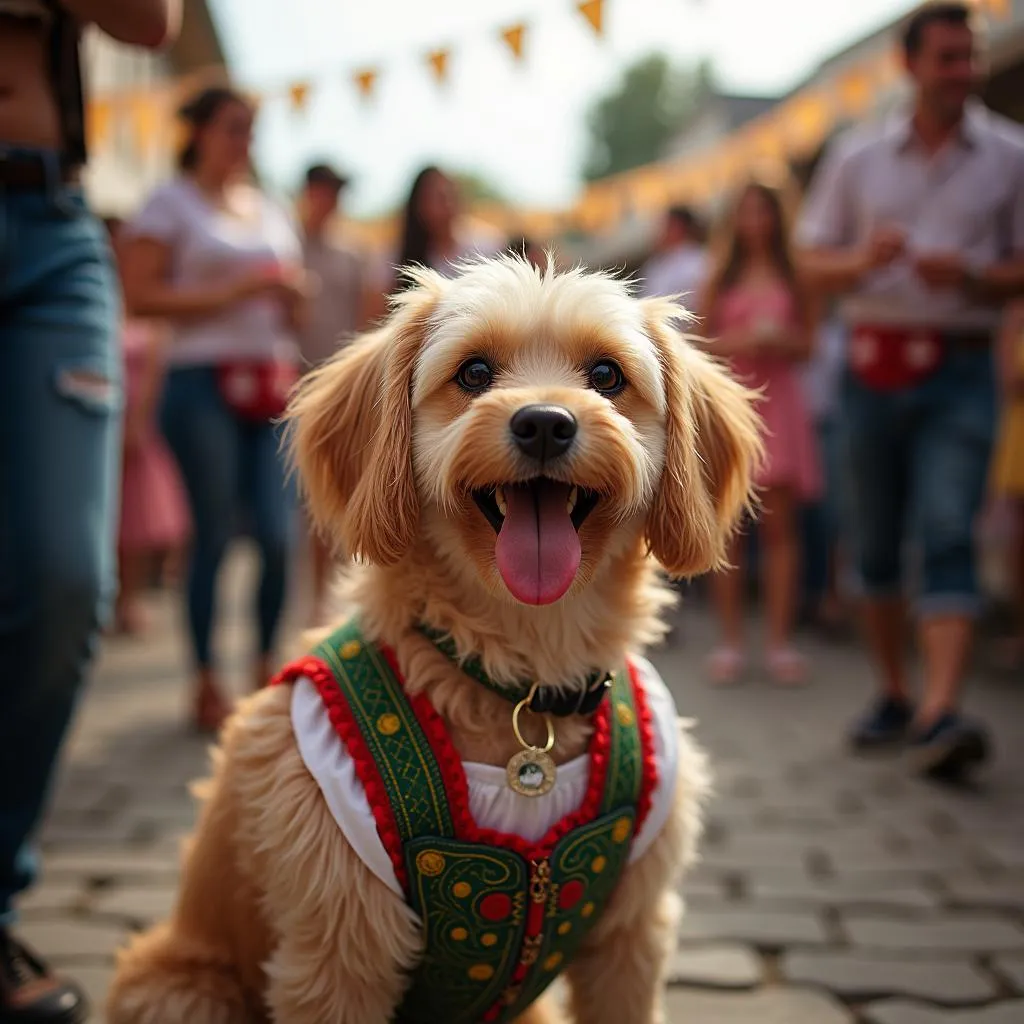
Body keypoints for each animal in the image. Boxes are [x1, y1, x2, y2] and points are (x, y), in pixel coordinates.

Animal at [105, 256, 761, 1024]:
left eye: (606, 375)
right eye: (473, 372)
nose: (545, 423)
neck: (522, 681)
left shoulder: (631, 934)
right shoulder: (337, 954)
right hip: (184, 990)